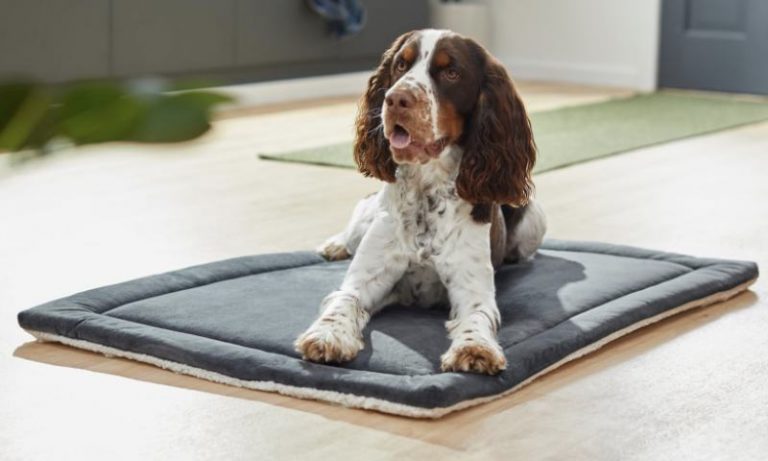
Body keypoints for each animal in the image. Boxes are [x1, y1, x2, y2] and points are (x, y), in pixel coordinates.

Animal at [294, 28, 544, 374]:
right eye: (401, 65)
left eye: (451, 72)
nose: (397, 99)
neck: (427, 190)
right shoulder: (368, 279)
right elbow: (344, 301)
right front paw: (327, 337)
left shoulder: (471, 289)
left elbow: (477, 316)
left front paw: (475, 349)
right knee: (355, 223)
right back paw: (335, 244)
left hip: (534, 221)